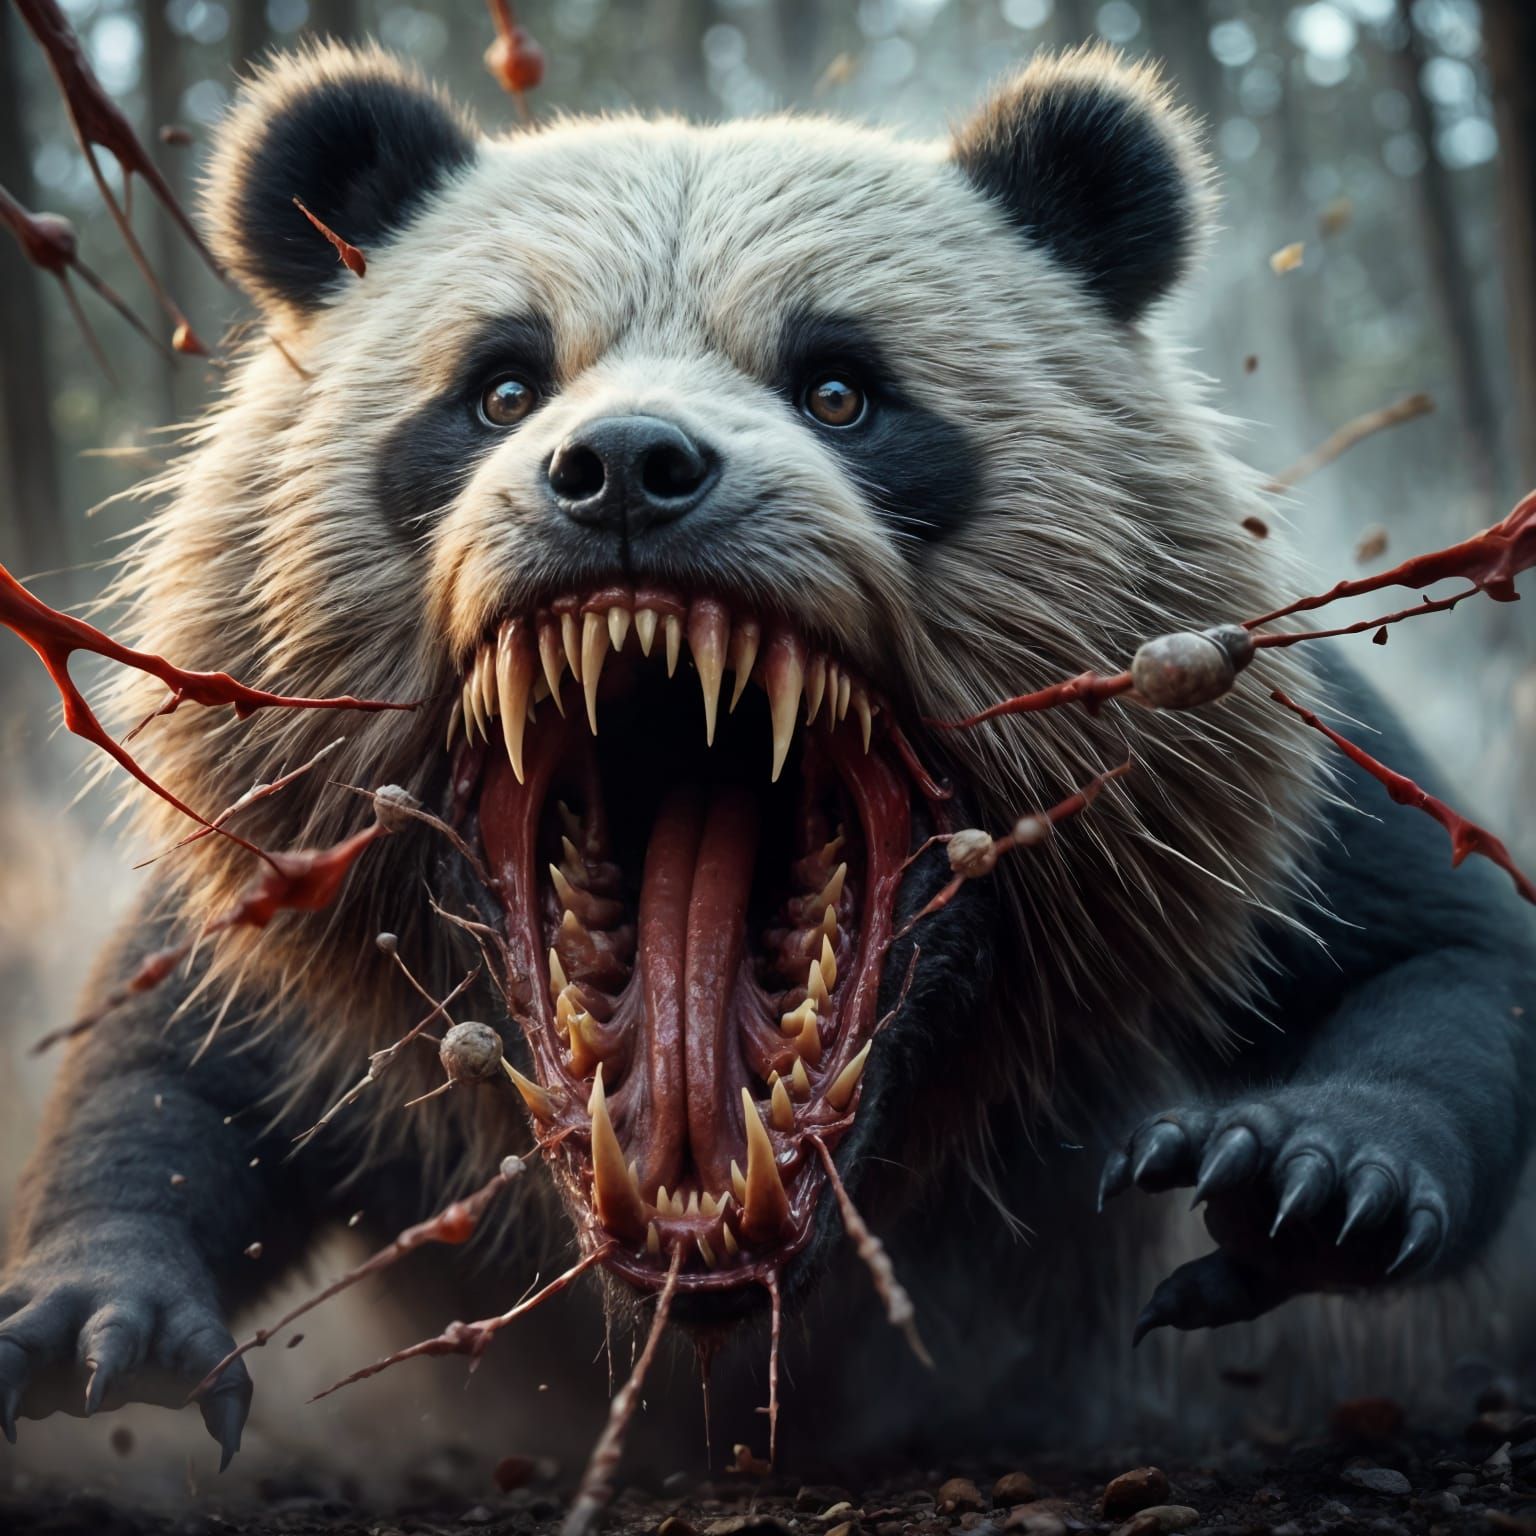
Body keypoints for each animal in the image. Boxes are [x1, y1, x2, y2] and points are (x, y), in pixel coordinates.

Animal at [1, 40, 1531, 1475]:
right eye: (499, 387)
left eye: (842, 388)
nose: (625, 467)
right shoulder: (287, 850)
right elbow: (183, 1061)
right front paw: (101, 1321)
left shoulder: (1236, 776)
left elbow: (1438, 954)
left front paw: (1303, 1177)